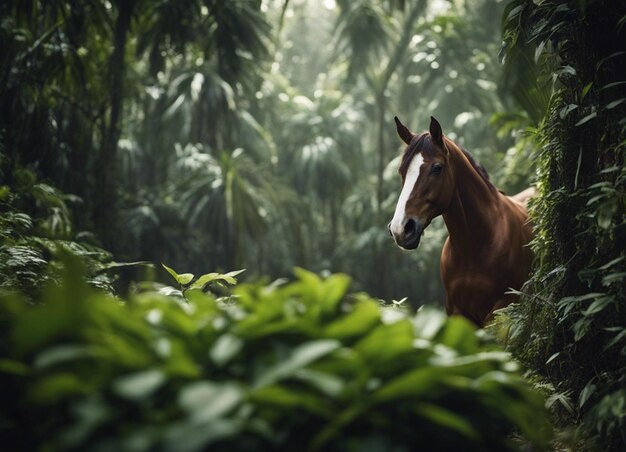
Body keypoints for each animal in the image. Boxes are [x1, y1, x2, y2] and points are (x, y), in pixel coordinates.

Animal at [388, 115, 528, 324]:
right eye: (401, 170)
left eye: (437, 168)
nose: (400, 228)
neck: (473, 249)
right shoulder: (457, 313)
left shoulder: (500, 310)